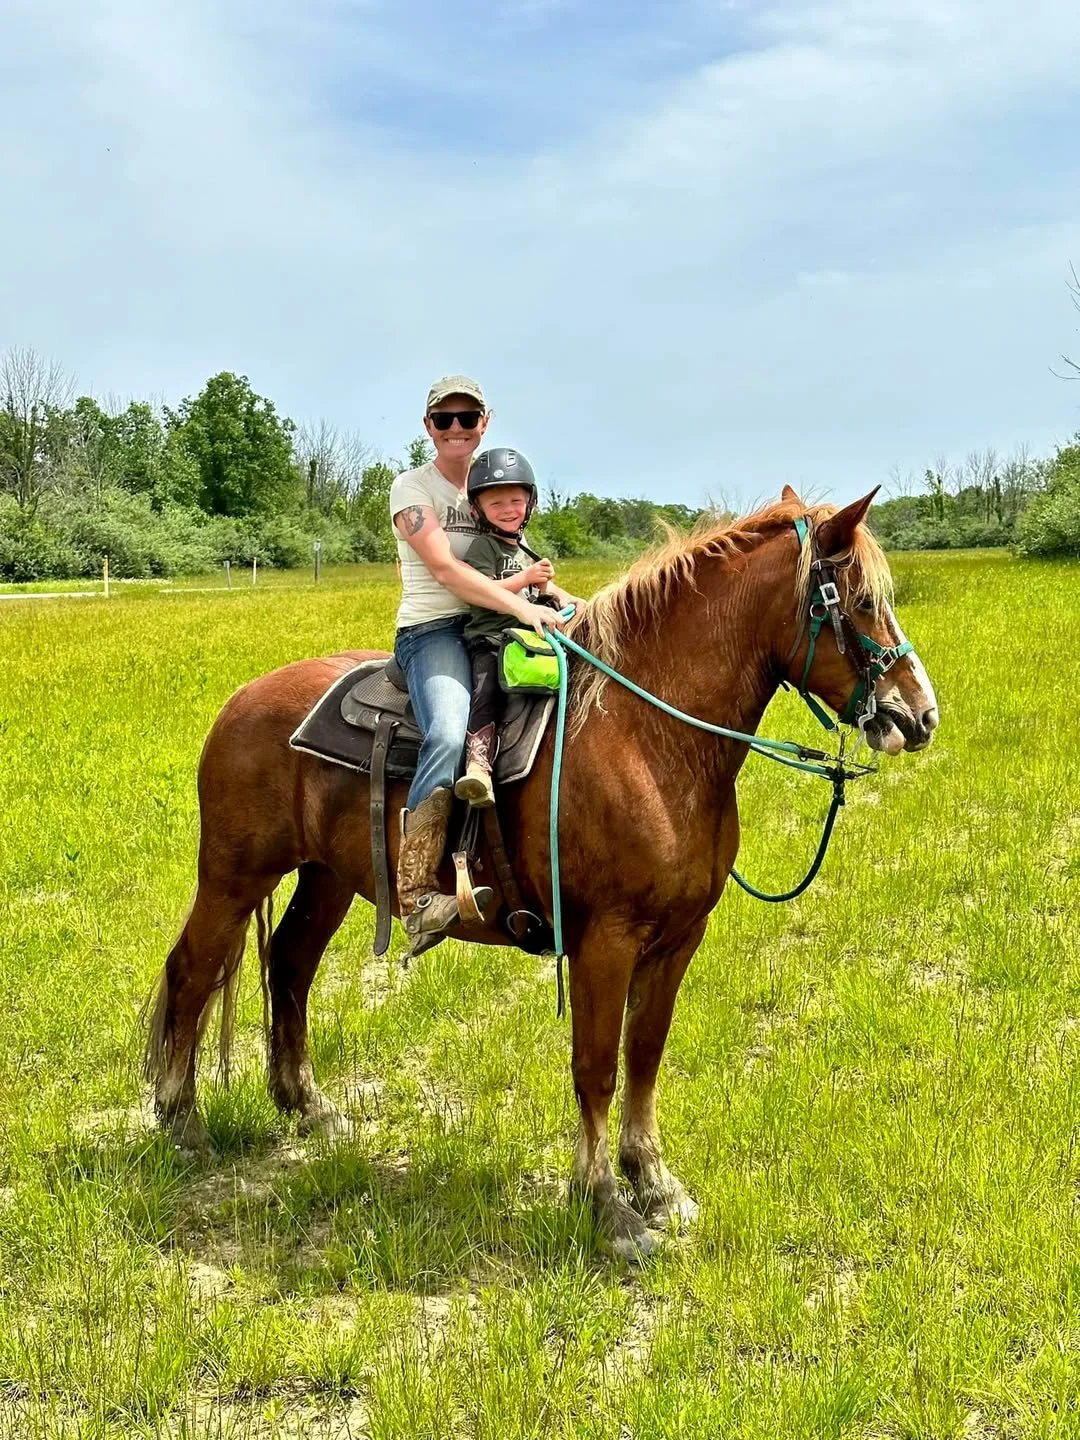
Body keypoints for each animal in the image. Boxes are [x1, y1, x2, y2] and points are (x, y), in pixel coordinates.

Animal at [145, 487, 938, 1259]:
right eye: (858, 600)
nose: (920, 715)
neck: (645, 737)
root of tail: (242, 700)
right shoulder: (605, 941)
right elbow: (596, 1066)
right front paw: (609, 1209)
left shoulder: (679, 937)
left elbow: (644, 1055)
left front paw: (656, 1184)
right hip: (233, 874)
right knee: (191, 971)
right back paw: (182, 1123)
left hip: (327, 878)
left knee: (288, 965)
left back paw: (308, 1108)